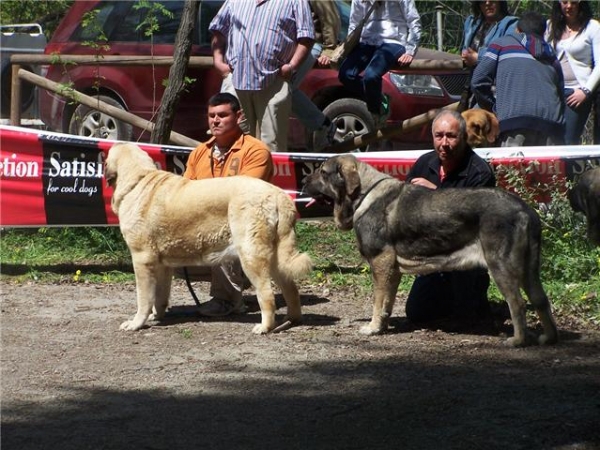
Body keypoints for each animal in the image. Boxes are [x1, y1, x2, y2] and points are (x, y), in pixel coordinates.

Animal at [302, 153, 560, 346]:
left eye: (323, 172)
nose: (303, 183)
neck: (363, 194)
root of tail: (525, 210)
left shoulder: (380, 262)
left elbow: (377, 300)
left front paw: (373, 327)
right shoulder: (392, 270)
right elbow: (386, 303)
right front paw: (382, 325)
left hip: (501, 267)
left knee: (517, 304)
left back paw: (517, 341)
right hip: (528, 270)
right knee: (540, 299)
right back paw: (548, 337)